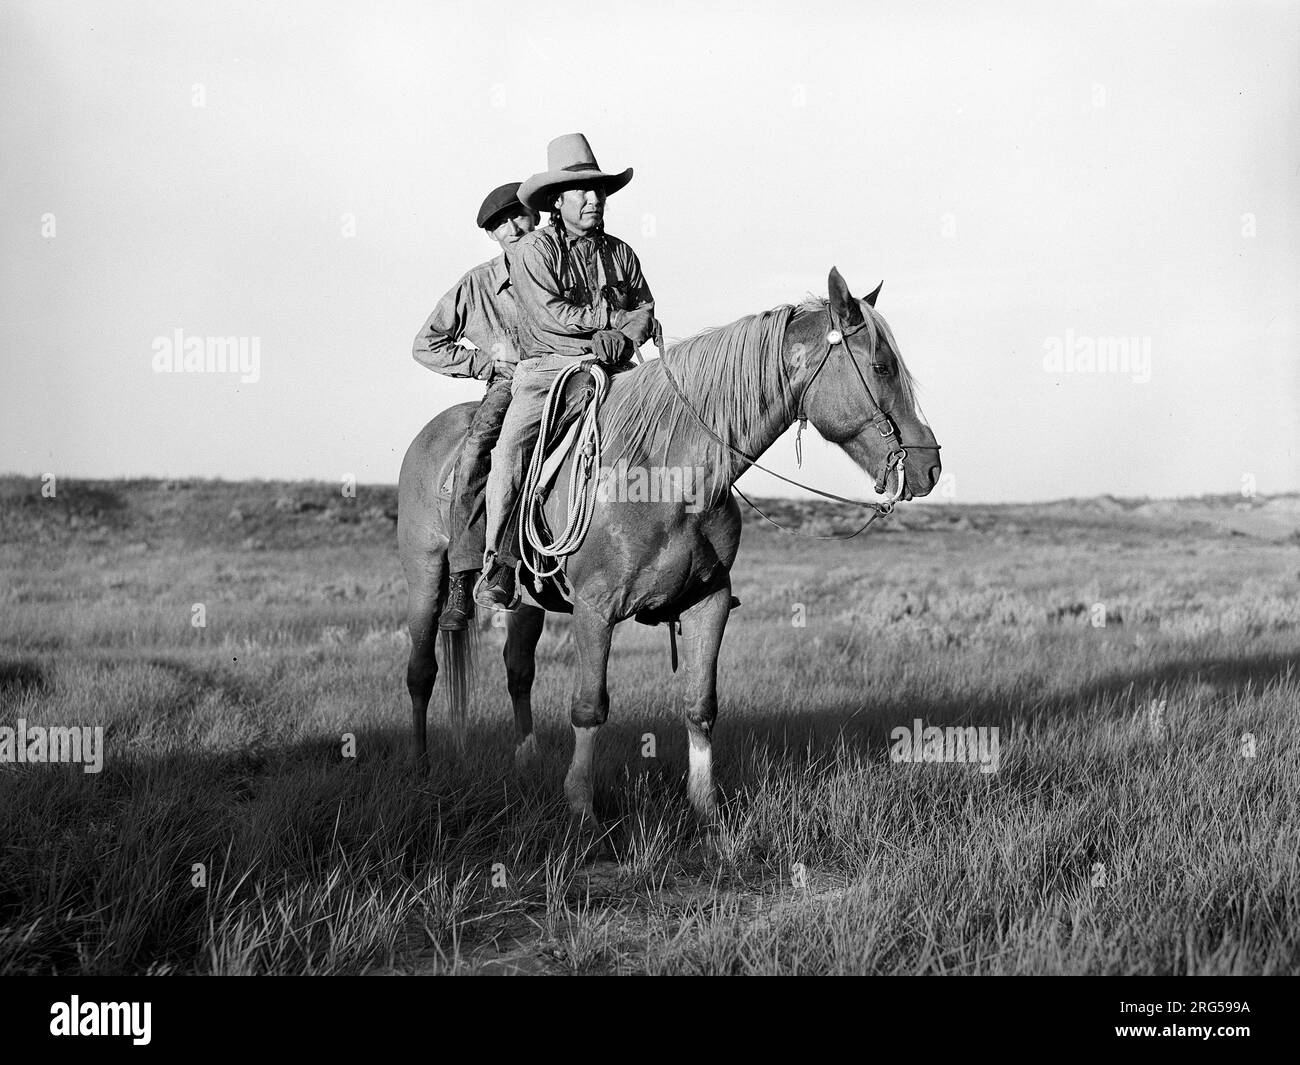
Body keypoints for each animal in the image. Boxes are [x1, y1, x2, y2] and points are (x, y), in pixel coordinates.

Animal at [397, 267, 941, 833]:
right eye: (881, 366)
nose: (930, 465)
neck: (667, 473)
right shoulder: (595, 609)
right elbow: (589, 707)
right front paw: (582, 808)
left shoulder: (710, 603)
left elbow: (701, 705)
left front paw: (707, 808)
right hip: (424, 580)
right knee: (421, 671)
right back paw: (420, 765)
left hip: (528, 604)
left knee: (518, 670)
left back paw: (526, 759)